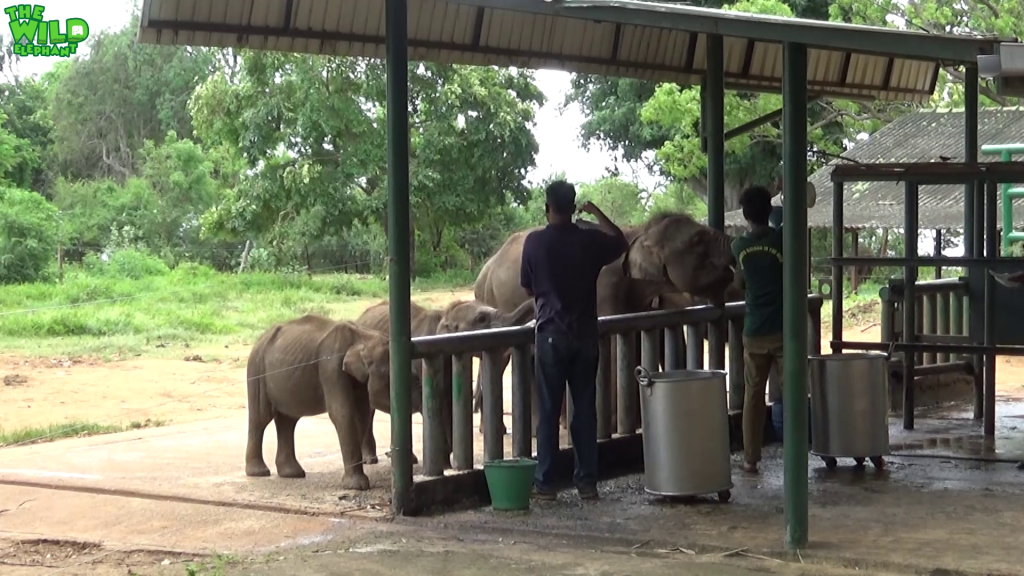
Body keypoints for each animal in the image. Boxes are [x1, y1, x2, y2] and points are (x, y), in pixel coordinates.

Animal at [243, 313, 419, 487]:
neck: (363, 336)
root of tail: (260, 338)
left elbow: (361, 413)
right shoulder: (331, 367)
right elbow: (343, 413)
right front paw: (357, 486)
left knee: (288, 420)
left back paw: (292, 474)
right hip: (257, 369)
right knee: (261, 418)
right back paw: (259, 472)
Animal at [356, 297, 536, 459]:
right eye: (481, 319)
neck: (444, 316)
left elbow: (449, 400)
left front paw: (450, 454)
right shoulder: (422, 365)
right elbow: (432, 401)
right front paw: (444, 457)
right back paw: (371, 458)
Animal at [475, 211, 741, 430]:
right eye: (698, 241)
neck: (638, 232)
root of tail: (488, 265)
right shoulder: (604, 290)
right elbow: (611, 348)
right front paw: (615, 425)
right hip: (495, 301)